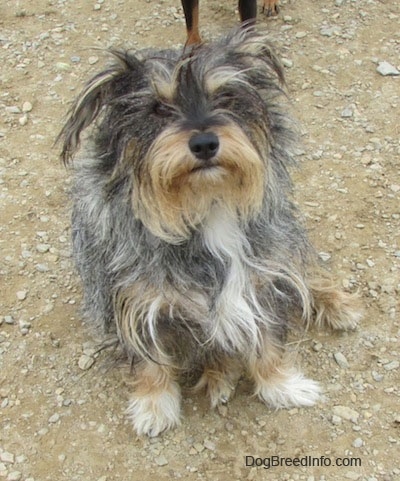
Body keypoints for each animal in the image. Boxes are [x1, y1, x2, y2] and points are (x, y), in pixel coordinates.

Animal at [59, 28, 362, 436]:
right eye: (158, 108)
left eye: (226, 96)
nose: (204, 143)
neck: (205, 205)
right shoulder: (132, 300)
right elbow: (149, 360)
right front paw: (154, 405)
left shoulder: (259, 279)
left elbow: (267, 340)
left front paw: (283, 385)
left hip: (285, 242)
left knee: (307, 271)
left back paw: (337, 305)